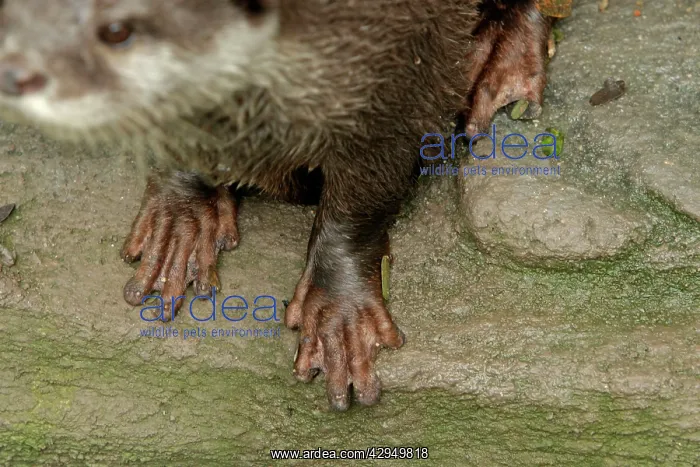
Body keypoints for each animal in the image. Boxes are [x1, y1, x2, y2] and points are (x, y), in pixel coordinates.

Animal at [0, 0, 552, 411]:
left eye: (117, 31)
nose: (19, 74)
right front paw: (179, 220)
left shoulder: (402, 59)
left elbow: (370, 178)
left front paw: (339, 317)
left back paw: (497, 63)